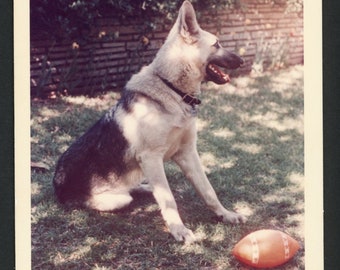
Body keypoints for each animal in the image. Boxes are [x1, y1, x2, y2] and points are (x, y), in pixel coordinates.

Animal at [52, 0, 244, 244]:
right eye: (217, 44)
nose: (242, 60)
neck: (172, 89)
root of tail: (56, 184)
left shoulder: (187, 153)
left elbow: (207, 189)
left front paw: (225, 214)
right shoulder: (152, 158)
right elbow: (168, 199)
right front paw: (179, 230)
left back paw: (144, 187)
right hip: (120, 197)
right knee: (129, 195)